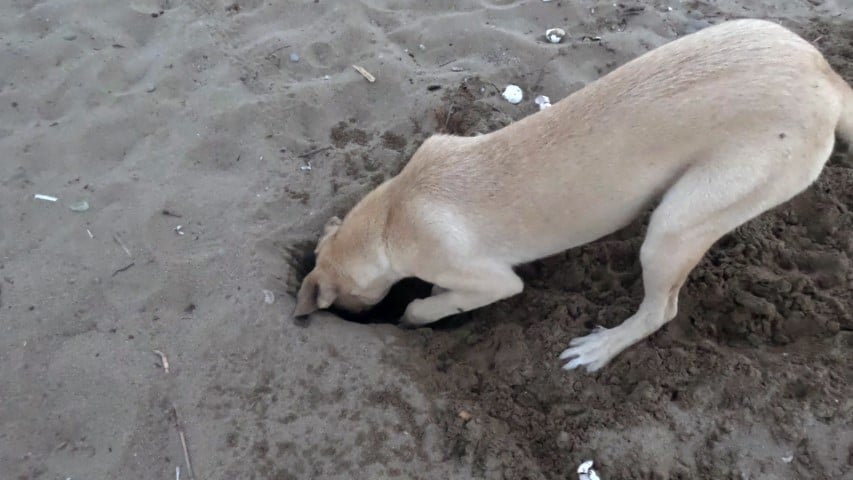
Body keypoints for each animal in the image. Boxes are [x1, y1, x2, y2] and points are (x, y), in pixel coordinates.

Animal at [294, 18, 852, 372]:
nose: (355, 316)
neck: (392, 214)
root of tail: (827, 77)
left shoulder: (488, 281)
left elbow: (429, 305)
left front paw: (416, 316)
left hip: (676, 226)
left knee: (661, 310)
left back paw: (602, 348)